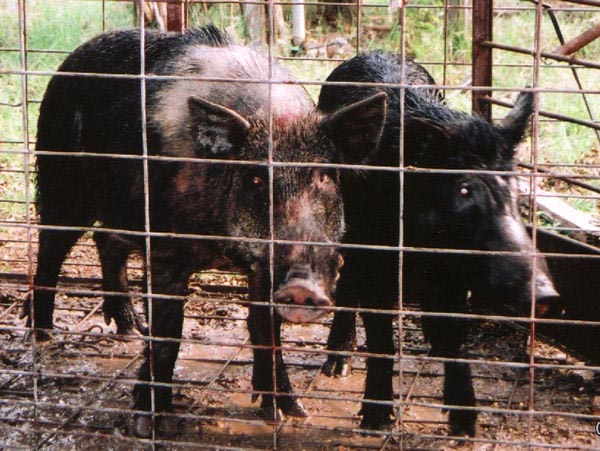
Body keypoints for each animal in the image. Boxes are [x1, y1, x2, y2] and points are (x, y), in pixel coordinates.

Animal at [27, 26, 387, 437]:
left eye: (325, 176)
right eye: (255, 179)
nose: (302, 287)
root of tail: (70, 60)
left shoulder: (261, 267)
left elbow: (264, 328)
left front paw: (288, 412)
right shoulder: (166, 251)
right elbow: (169, 333)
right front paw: (148, 423)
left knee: (106, 242)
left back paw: (130, 328)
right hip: (59, 178)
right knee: (50, 249)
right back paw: (43, 335)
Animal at [317, 51, 559, 436]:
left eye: (517, 190)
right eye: (463, 190)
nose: (546, 296)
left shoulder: (454, 273)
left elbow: (454, 339)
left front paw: (465, 427)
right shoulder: (377, 255)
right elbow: (382, 342)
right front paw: (375, 423)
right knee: (347, 278)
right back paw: (336, 366)